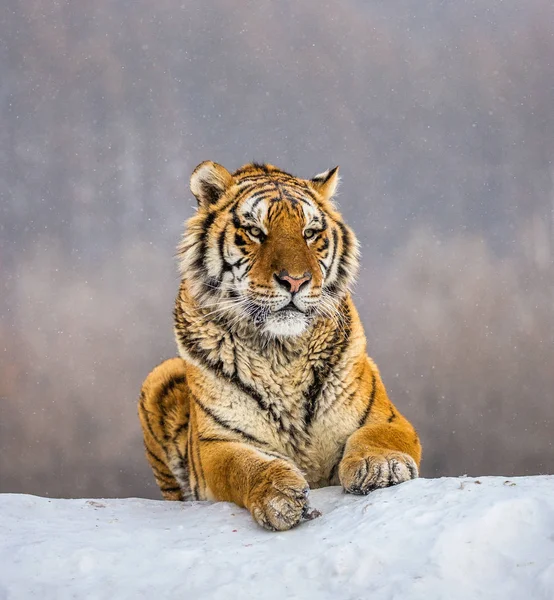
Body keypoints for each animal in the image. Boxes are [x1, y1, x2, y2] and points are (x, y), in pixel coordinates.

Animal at [137, 162, 418, 532]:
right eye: (255, 231)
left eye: (310, 232)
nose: (295, 281)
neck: (281, 353)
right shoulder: (218, 444)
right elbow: (243, 467)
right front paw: (279, 496)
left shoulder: (387, 418)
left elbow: (377, 436)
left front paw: (380, 466)